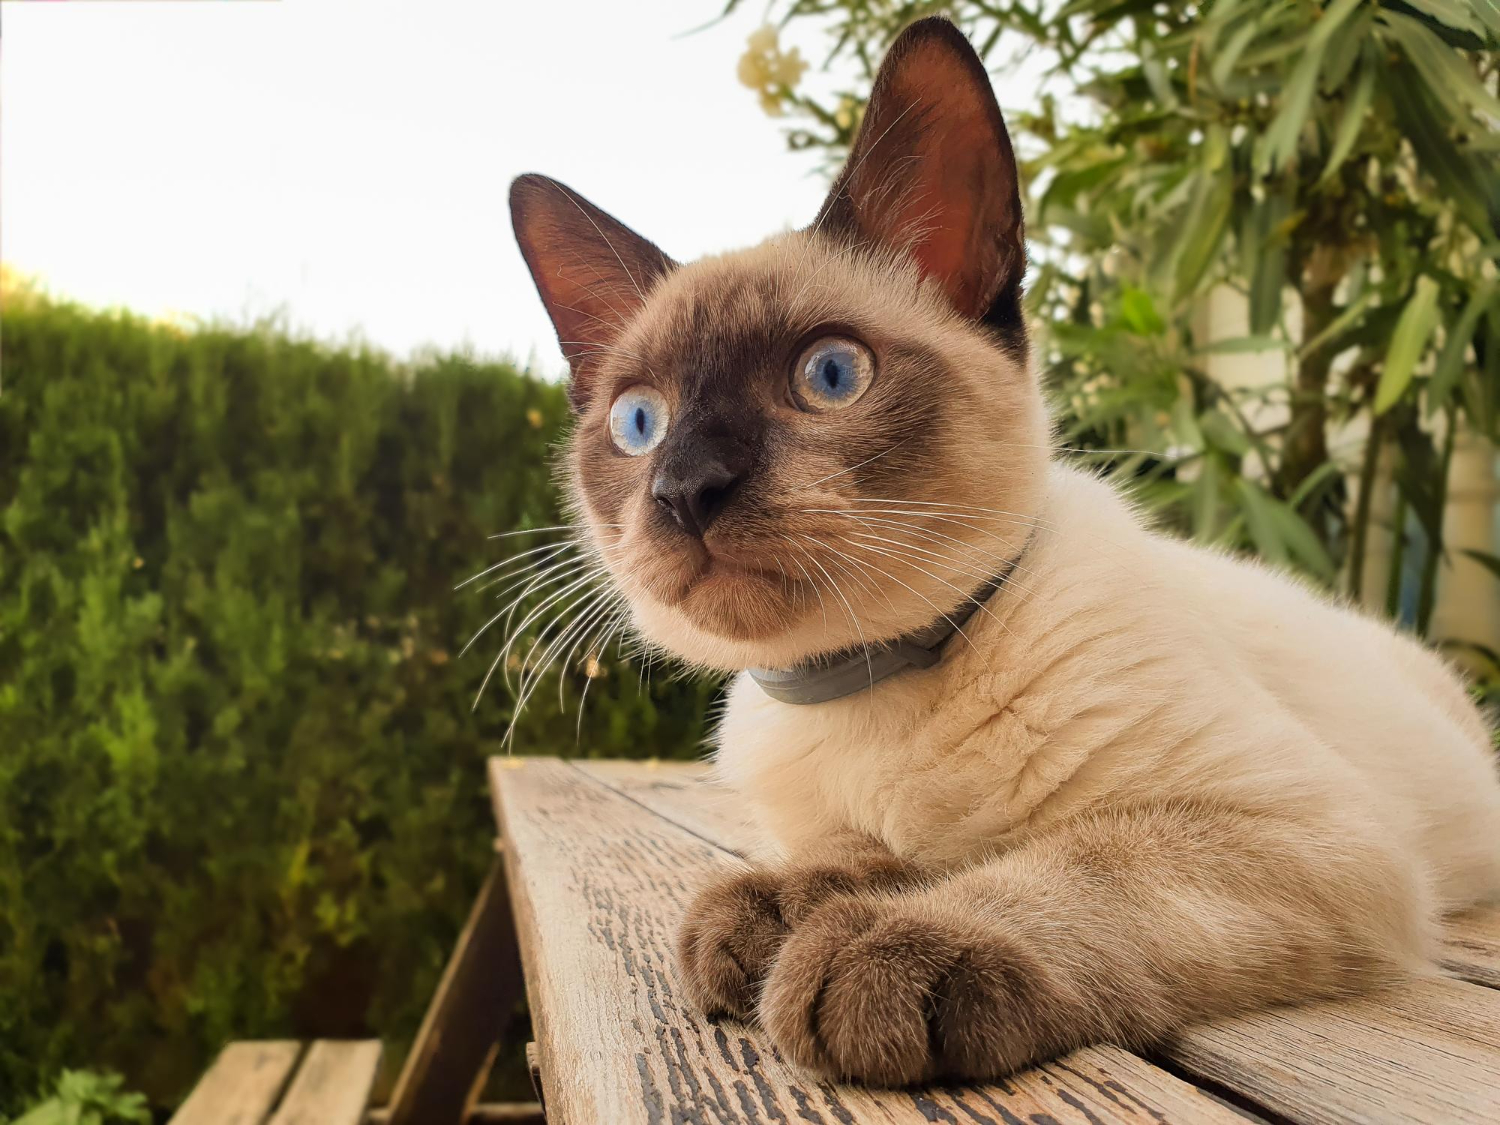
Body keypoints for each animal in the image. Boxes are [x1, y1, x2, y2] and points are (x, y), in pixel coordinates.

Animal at [507, 15, 1500, 1092]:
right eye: (639, 423)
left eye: (830, 375)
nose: (686, 487)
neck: (862, 677)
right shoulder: (842, 823)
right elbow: (861, 857)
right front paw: (770, 911)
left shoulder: (1302, 830)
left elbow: (1073, 866)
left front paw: (877, 950)